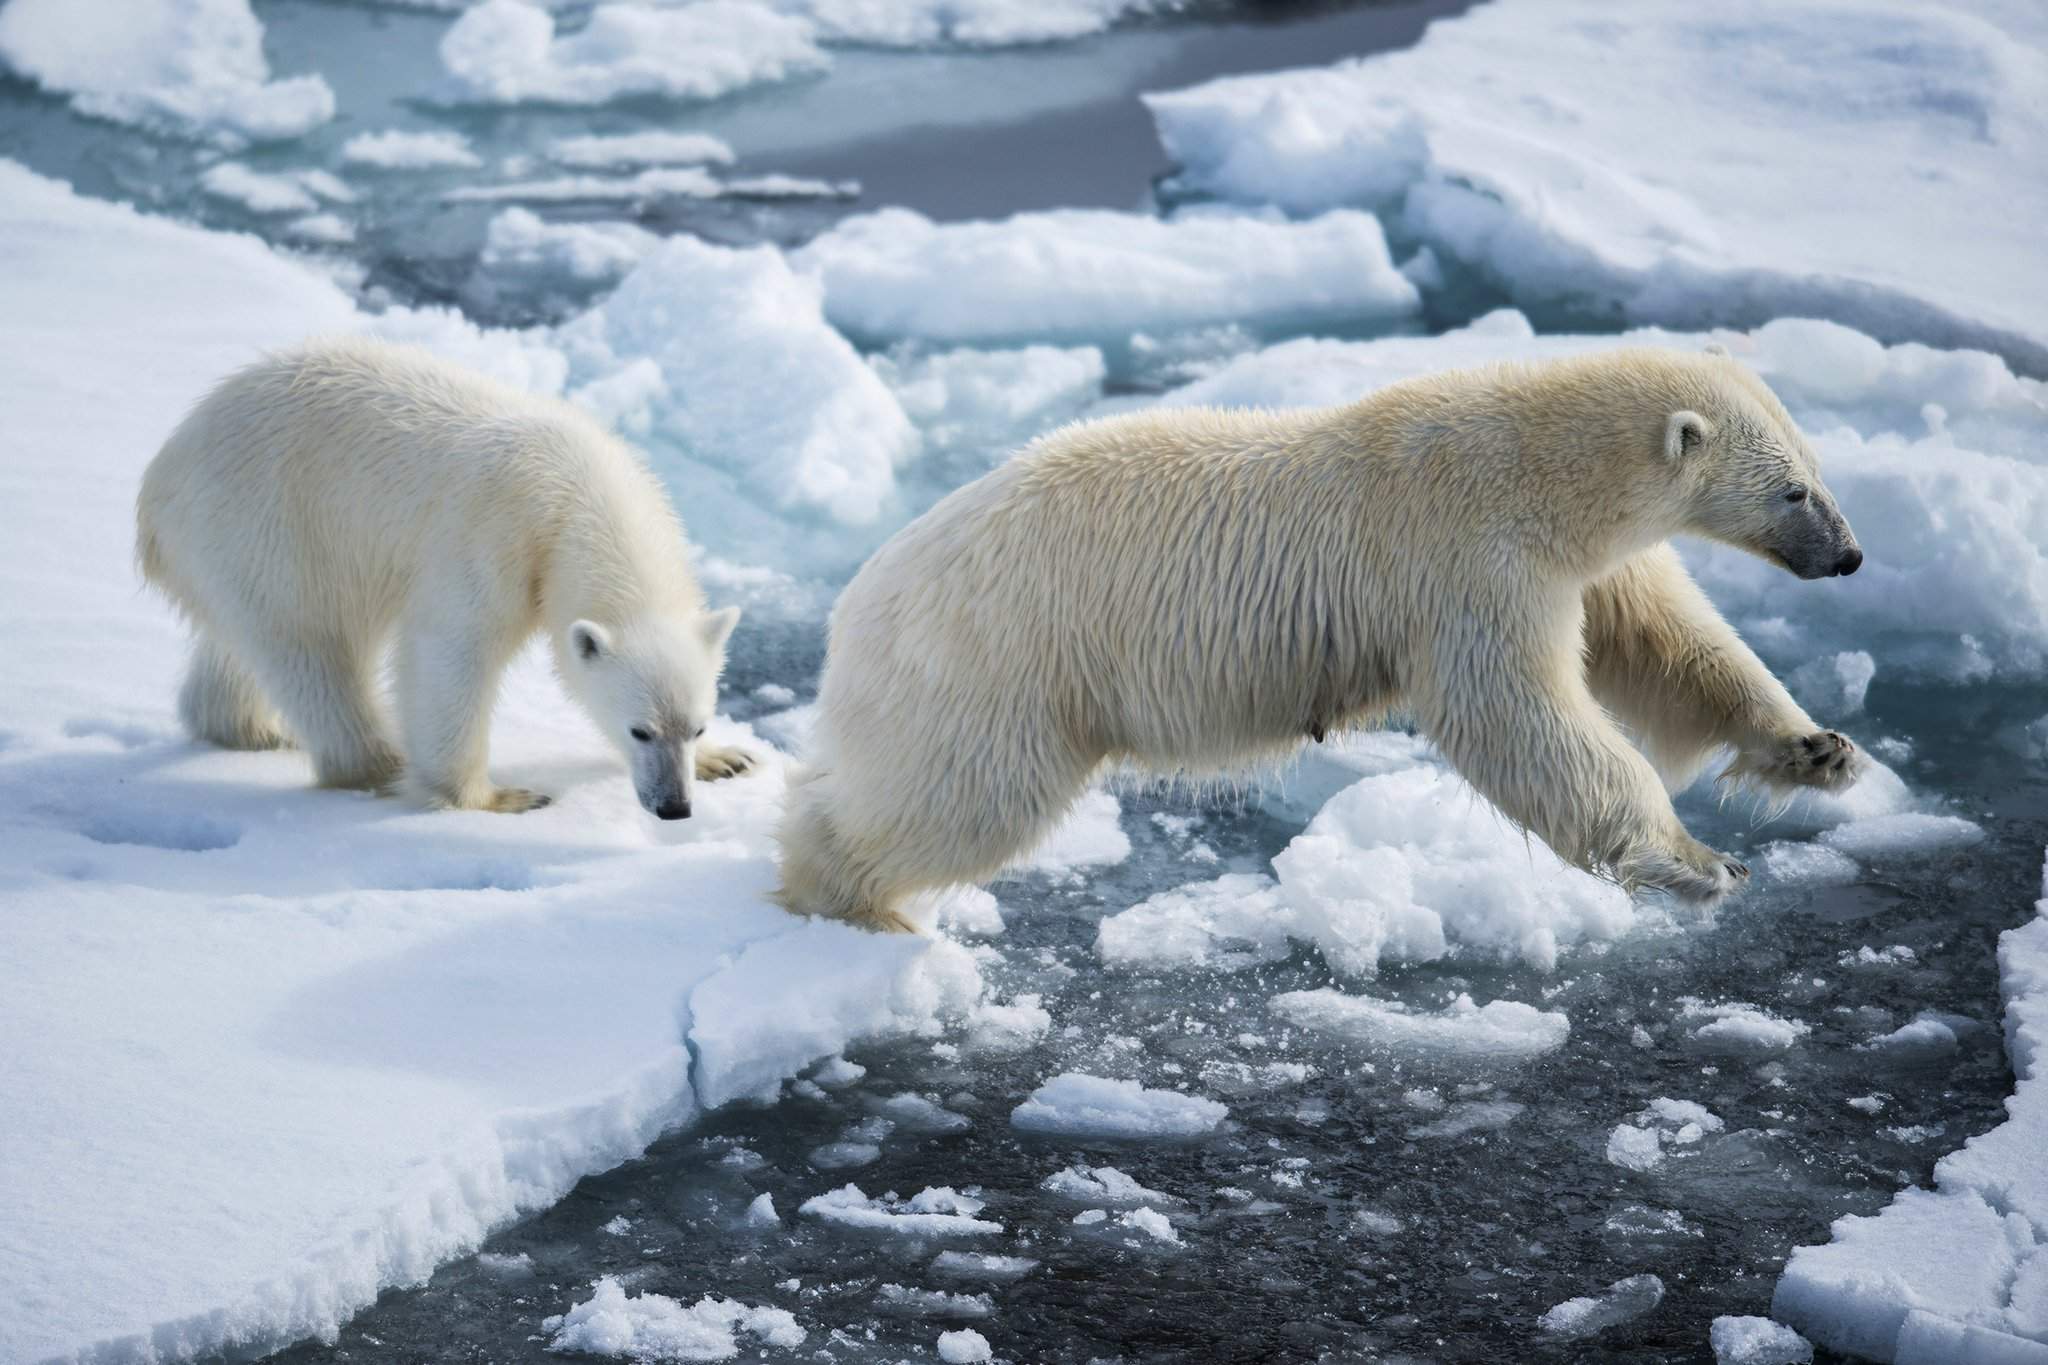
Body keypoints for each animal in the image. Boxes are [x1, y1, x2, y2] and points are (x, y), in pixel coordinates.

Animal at [140, 337, 757, 818]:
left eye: (697, 727)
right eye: (640, 730)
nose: (674, 808)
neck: (580, 494)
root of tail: (161, 478)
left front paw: (728, 760)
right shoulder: (496, 536)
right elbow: (450, 650)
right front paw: (494, 798)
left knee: (240, 645)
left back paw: (248, 727)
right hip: (271, 523)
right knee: (313, 647)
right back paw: (378, 763)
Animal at [782, 347, 1875, 933]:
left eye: (1817, 467)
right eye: (1791, 490)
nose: (1850, 555)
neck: (1537, 466)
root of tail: (858, 598)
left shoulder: (1583, 564)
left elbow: (1669, 648)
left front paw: (1818, 749)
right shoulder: (1465, 560)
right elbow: (1520, 717)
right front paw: (1699, 860)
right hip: (998, 659)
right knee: (961, 794)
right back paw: (845, 894)